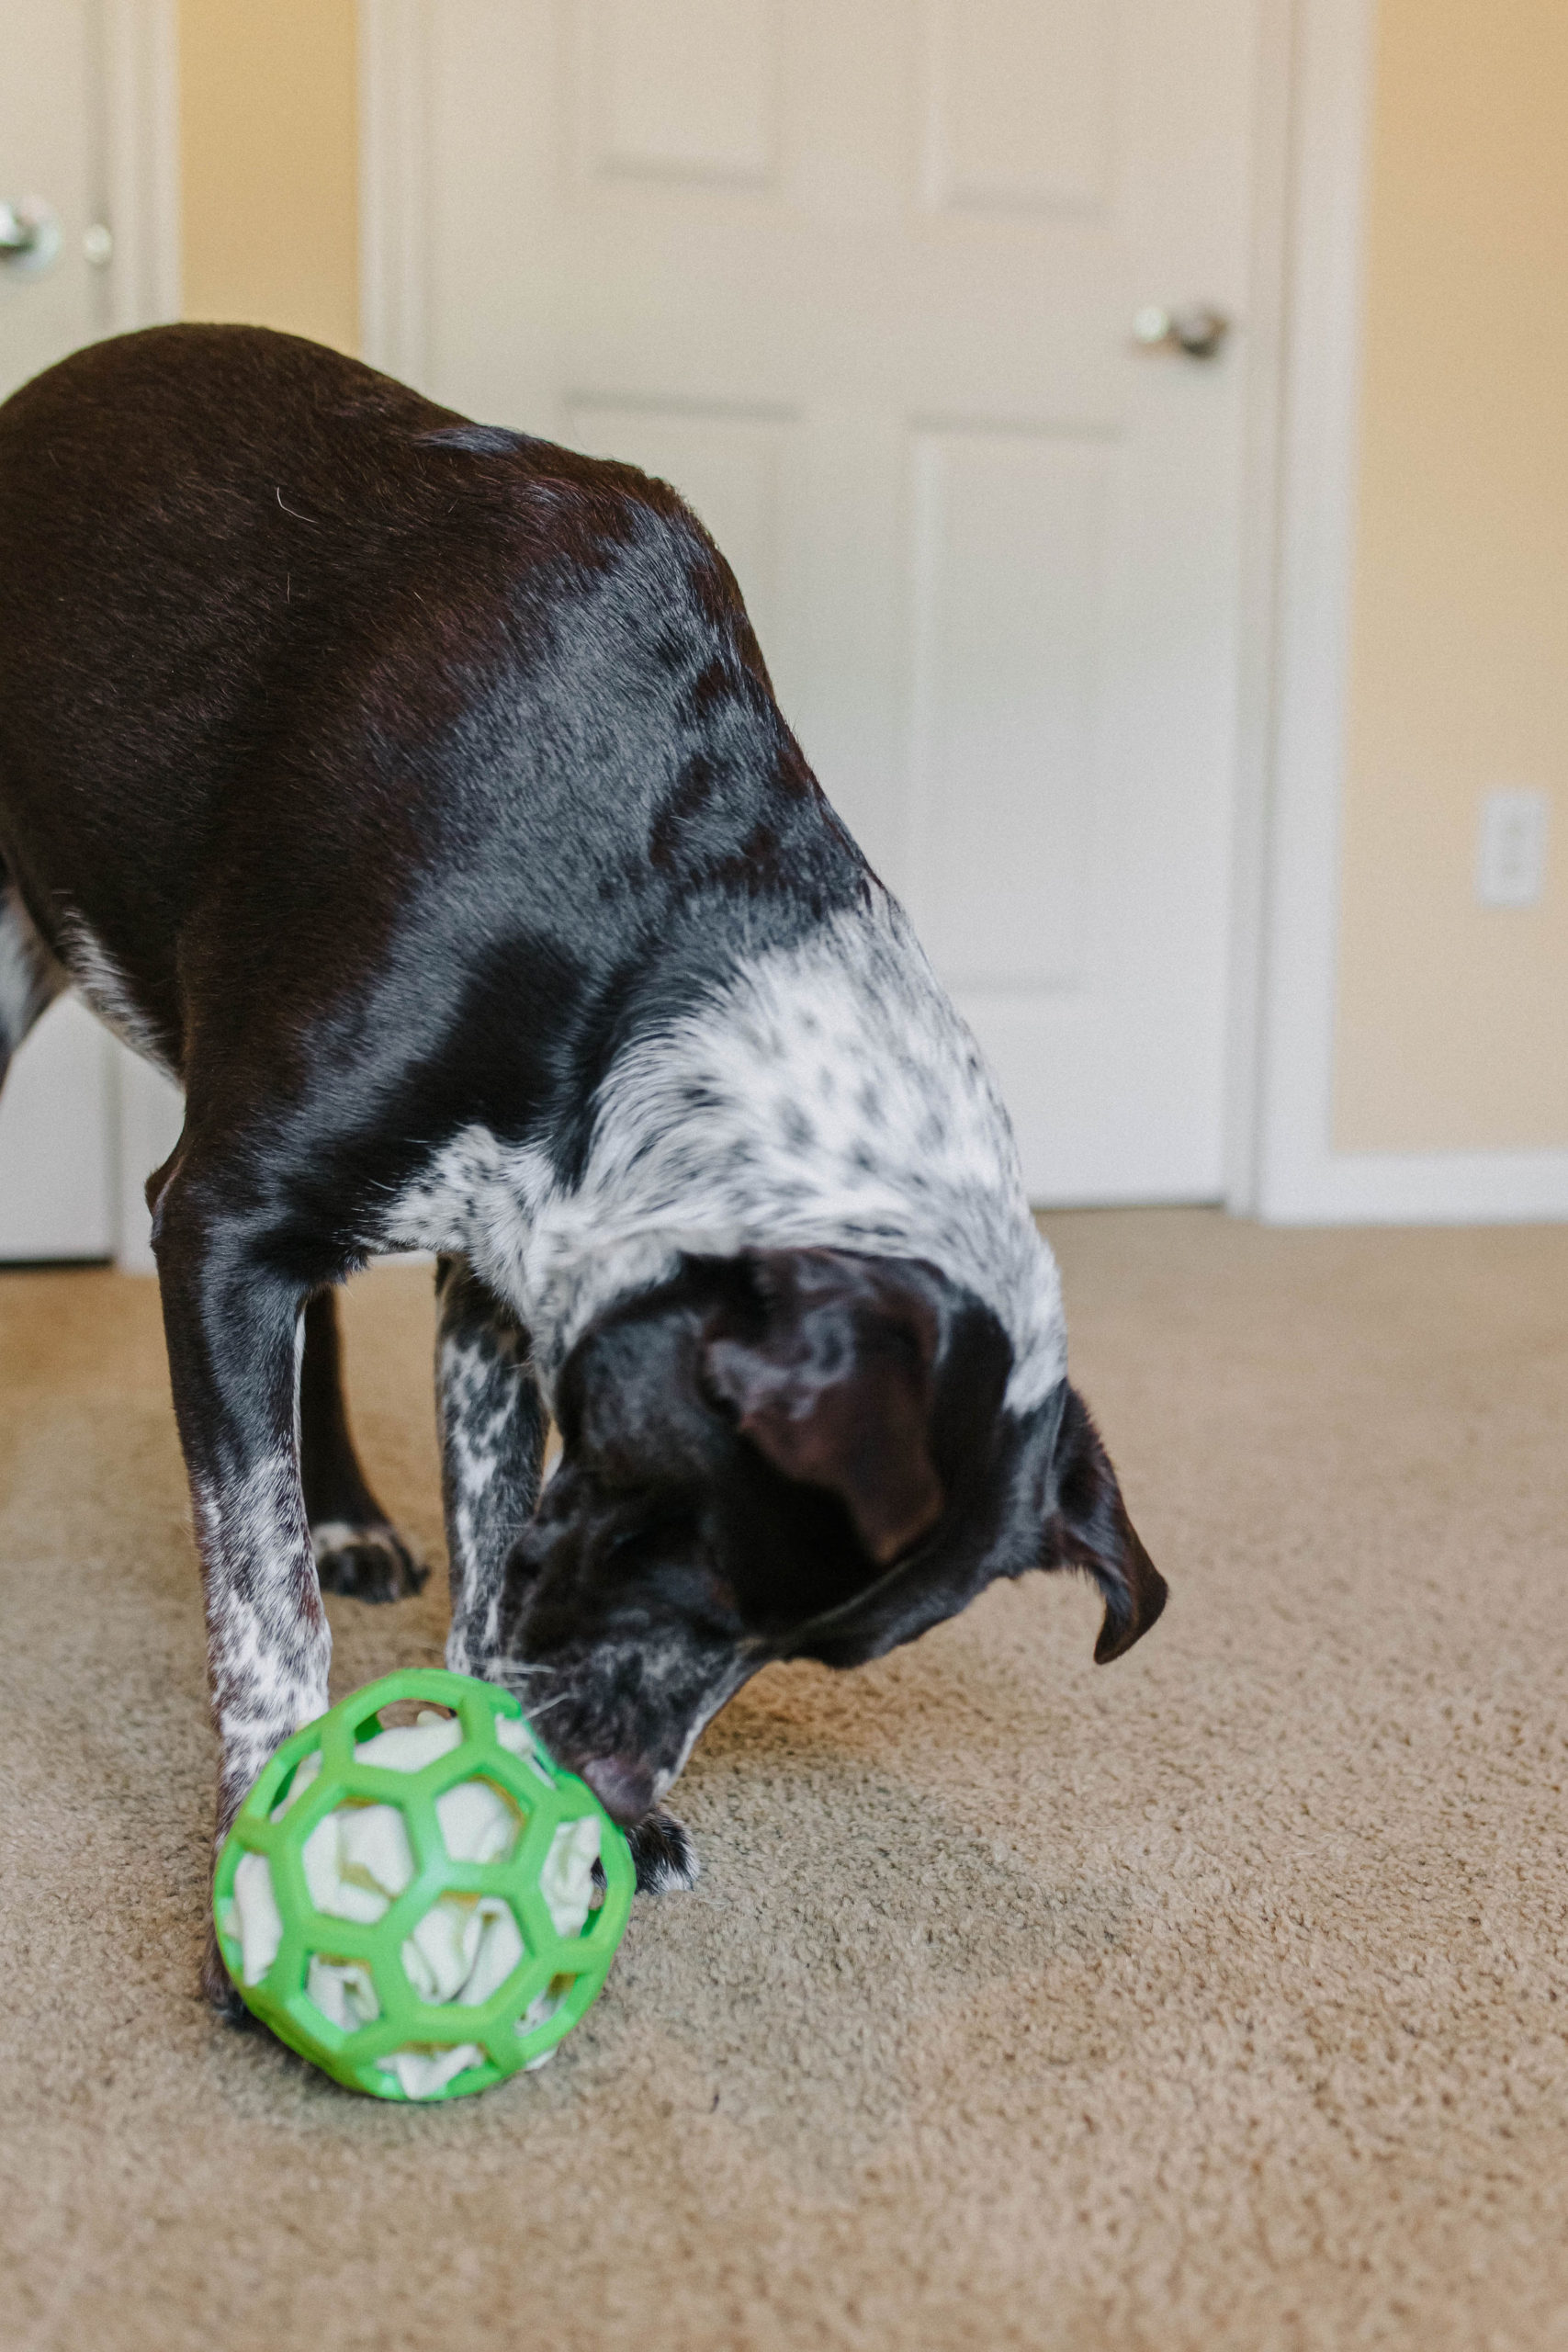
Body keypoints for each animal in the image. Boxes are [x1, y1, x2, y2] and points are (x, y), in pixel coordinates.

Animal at [0, 326, 1166, 2004]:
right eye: (706, 1556)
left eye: (797, 1652)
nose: (612, 1790)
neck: (636, 929)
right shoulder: (219, 1219)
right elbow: (264, 1605)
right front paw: (267, 1877)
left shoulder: (496, 1276)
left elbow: (491, 1540)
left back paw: (350, 1515)